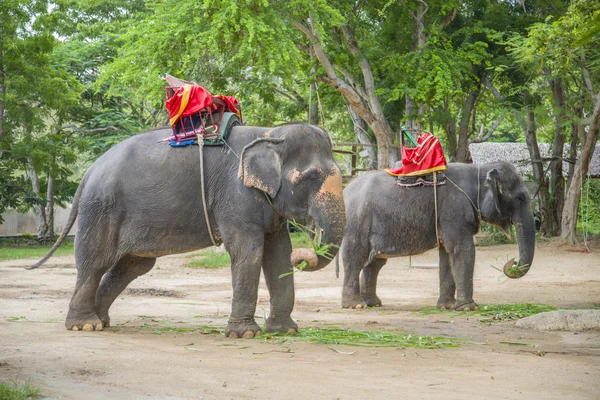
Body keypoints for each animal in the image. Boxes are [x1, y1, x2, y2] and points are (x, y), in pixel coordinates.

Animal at [30, 124, 344, 338]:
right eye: (309, 178)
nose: (307, 254)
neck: (269, 133)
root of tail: (89, 171)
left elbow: (278, 254)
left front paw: (285, 331)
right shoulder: (235, 196)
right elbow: (248, 251)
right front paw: (245, 334)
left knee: (132, 266)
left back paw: (102, 321)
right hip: (101, 209)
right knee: (95, 262)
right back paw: (85, 325)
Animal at [338, 161, 536, 310]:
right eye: (520, 198)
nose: (512, 262)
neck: (478, 169)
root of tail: (344, 191)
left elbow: (447, 253)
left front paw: (447, 307)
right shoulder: (454, 210)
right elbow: (462, 249)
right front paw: (468, 308)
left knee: (375, 262)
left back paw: (373, 303)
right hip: (356, 224)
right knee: (355, 259)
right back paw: (355, 305)